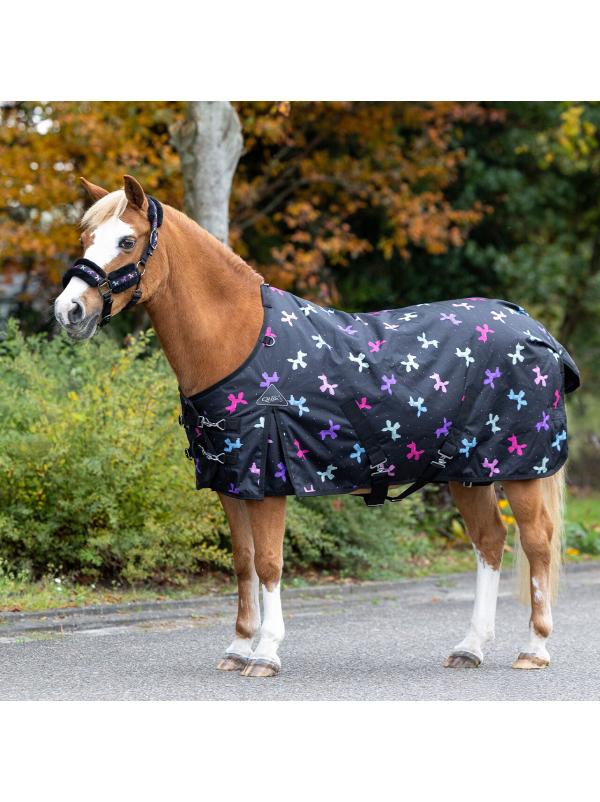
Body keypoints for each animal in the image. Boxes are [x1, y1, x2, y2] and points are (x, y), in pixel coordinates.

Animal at [54, 174, 577, 677]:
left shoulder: (268, 480)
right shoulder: (231, 481)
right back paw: (470, 648)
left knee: (537, 544)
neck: (240, 341)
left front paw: (266, 654)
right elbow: (243, 563)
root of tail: (533, 328)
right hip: (468, 472)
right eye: (86, 237)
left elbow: (269, 563)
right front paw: (238, 648)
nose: (69, 311)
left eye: (127, 241)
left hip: (519, 470)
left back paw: (534, 649)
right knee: (490, 542)